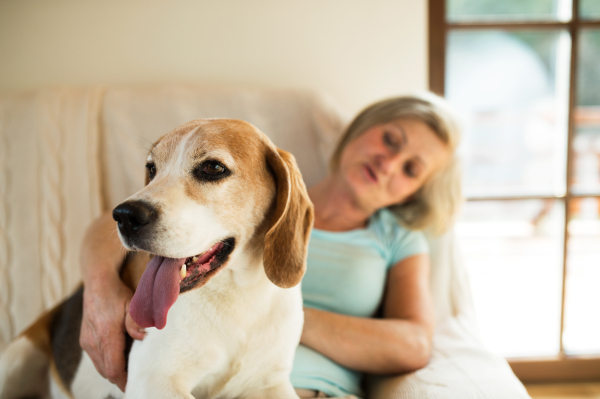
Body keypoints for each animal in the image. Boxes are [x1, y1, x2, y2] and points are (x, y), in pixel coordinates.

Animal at [0, 119, 312, 399]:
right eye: (151, 169)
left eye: (213, 168)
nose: (125, 216)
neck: (239, 294)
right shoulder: (155, 379)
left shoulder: (269, 383)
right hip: (17, 356)